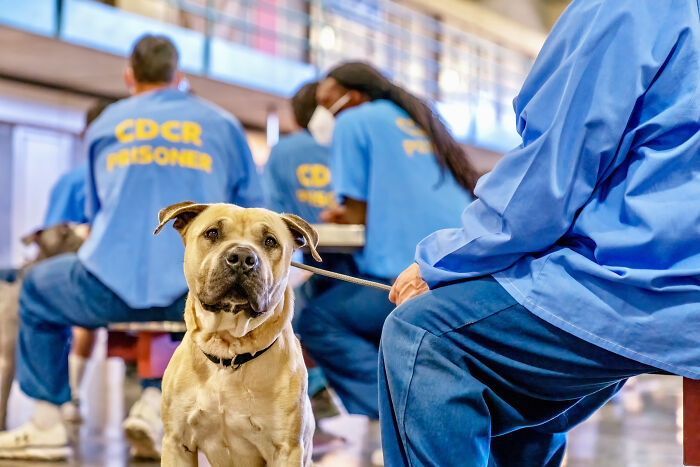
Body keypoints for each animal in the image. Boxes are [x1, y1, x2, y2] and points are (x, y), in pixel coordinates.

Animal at [156, 202, 320, 467]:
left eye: (270, 241)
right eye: (212, 233)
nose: (243, 258)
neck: (228, 352)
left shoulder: (287, 450)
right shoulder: (177, 443)